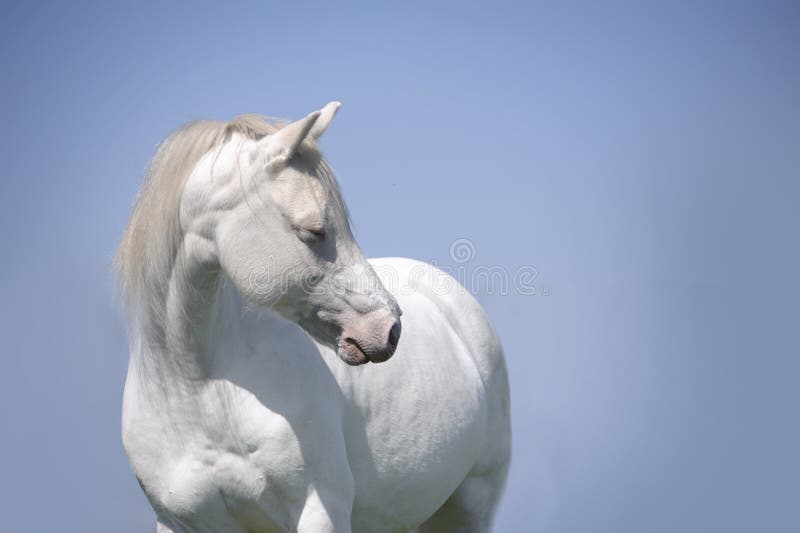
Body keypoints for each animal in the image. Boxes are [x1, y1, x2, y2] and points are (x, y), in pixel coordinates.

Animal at [115, 102, 510, 528]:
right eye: (314, 229)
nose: (389, 329)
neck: (201, 390)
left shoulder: (321, 509)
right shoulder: (177, 522)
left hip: (471, 505)